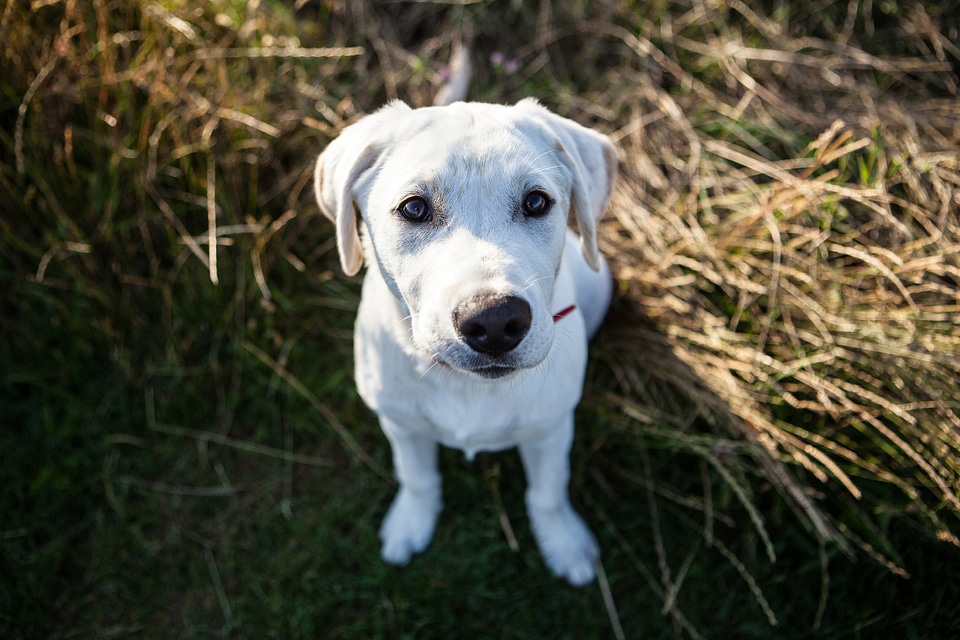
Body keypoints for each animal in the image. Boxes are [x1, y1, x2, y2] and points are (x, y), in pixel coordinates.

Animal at [312, 100, 620, 584]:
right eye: (414, 208)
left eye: (536, 202)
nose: (494, 321)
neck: (464, 384)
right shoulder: (400, 423)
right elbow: (417, 476)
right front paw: (410, 523)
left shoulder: (551, 428)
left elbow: (548, 492)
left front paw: (564, 543)